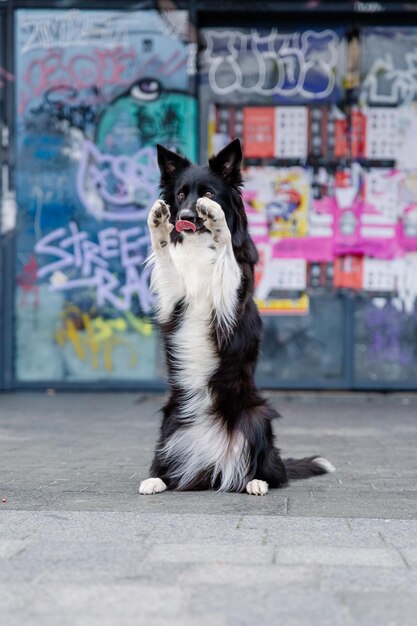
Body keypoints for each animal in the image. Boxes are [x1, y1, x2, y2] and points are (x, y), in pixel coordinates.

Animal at [138, 139, 334, 494]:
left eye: (208, 193)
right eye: (180, 195)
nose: (185, 216)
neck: (198, 246)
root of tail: (216, 463)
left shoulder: (229, 301)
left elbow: (226, 249)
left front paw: (218, 221)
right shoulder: (173, 300)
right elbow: (165, 255)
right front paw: (158, 223)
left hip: (256, 417)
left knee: (268, 470)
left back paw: (256, 481)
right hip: (170, 422)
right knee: (172, 467)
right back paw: (157, 479)